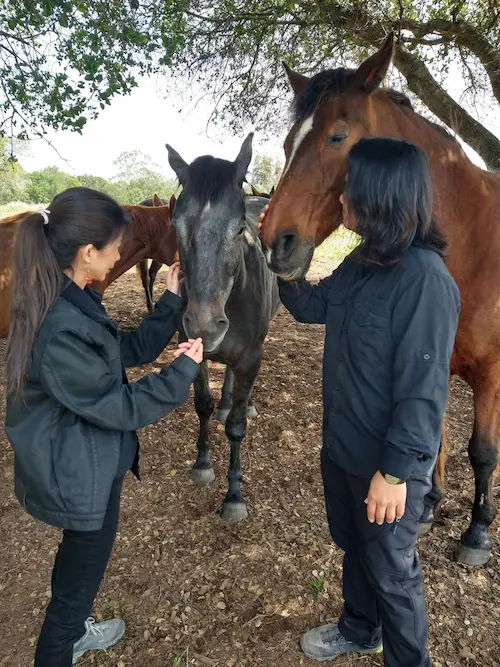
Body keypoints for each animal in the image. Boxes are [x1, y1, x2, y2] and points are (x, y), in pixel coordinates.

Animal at [166, 133, 280, 521]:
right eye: (176, 226)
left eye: (240, 228)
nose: (204, 325)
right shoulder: (193, 350)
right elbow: (202, 404)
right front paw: (202, 463)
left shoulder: (250, 358)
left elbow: (237, 429)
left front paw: (234, 495)